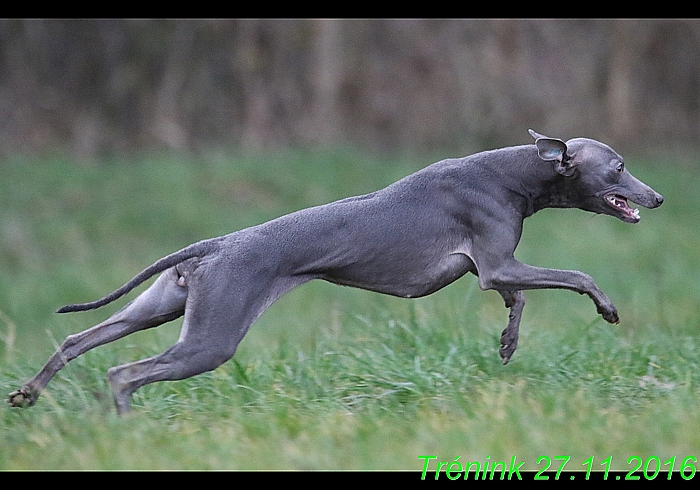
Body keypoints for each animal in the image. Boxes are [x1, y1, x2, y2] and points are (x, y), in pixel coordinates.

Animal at [6, 131, 660, 414]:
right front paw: (608, 308)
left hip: (163, 307)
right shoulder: (496, 266)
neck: (514, 171)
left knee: (78, 338)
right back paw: (124, 424)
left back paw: (28, 393)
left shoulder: (499, 271)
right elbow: (575, 275)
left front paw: (506, 342)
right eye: (619, 167)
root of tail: (215, 244)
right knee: (123, 372)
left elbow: (519, 300)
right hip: (212, 338)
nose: (656, 198)